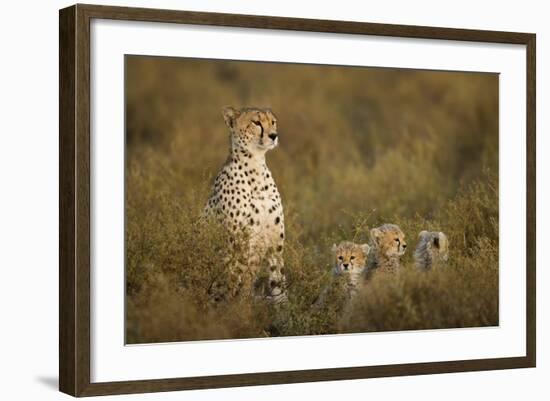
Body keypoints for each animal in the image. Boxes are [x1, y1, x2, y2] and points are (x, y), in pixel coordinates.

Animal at [205, 106, 286, 304]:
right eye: (256, 122)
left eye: (273, 121)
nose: (274, 135)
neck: (256, 166)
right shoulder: (236, 242)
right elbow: (234, 278)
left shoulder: (276, 243)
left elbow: (279, 282)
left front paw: (286, 308)